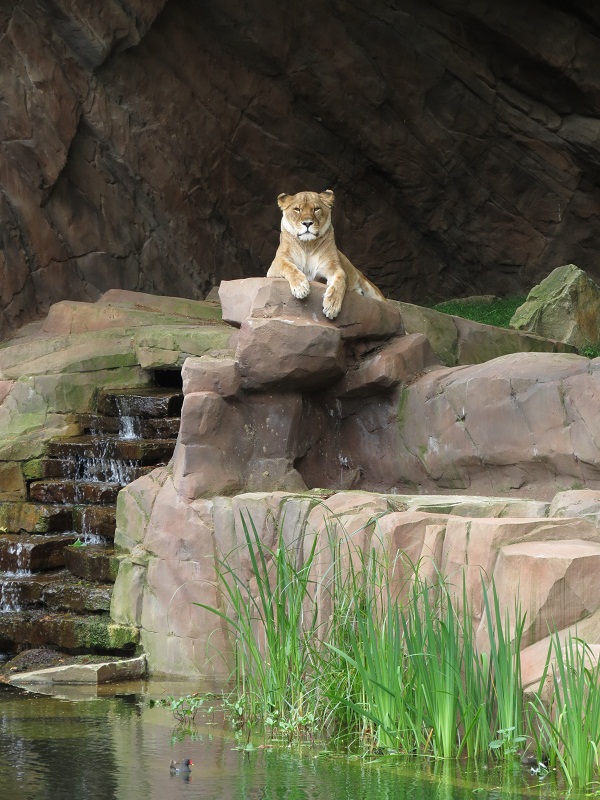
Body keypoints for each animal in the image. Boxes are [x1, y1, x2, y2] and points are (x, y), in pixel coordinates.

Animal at [267, 189, 385, 319]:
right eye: (297, 209)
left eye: (316, 209)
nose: (307, 223)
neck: (308, 245)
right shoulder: (275, 264)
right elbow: (289, 267)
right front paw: (300, 287)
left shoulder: (333, 267)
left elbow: (340, 279)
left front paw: (332, 306)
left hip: (371, 288)